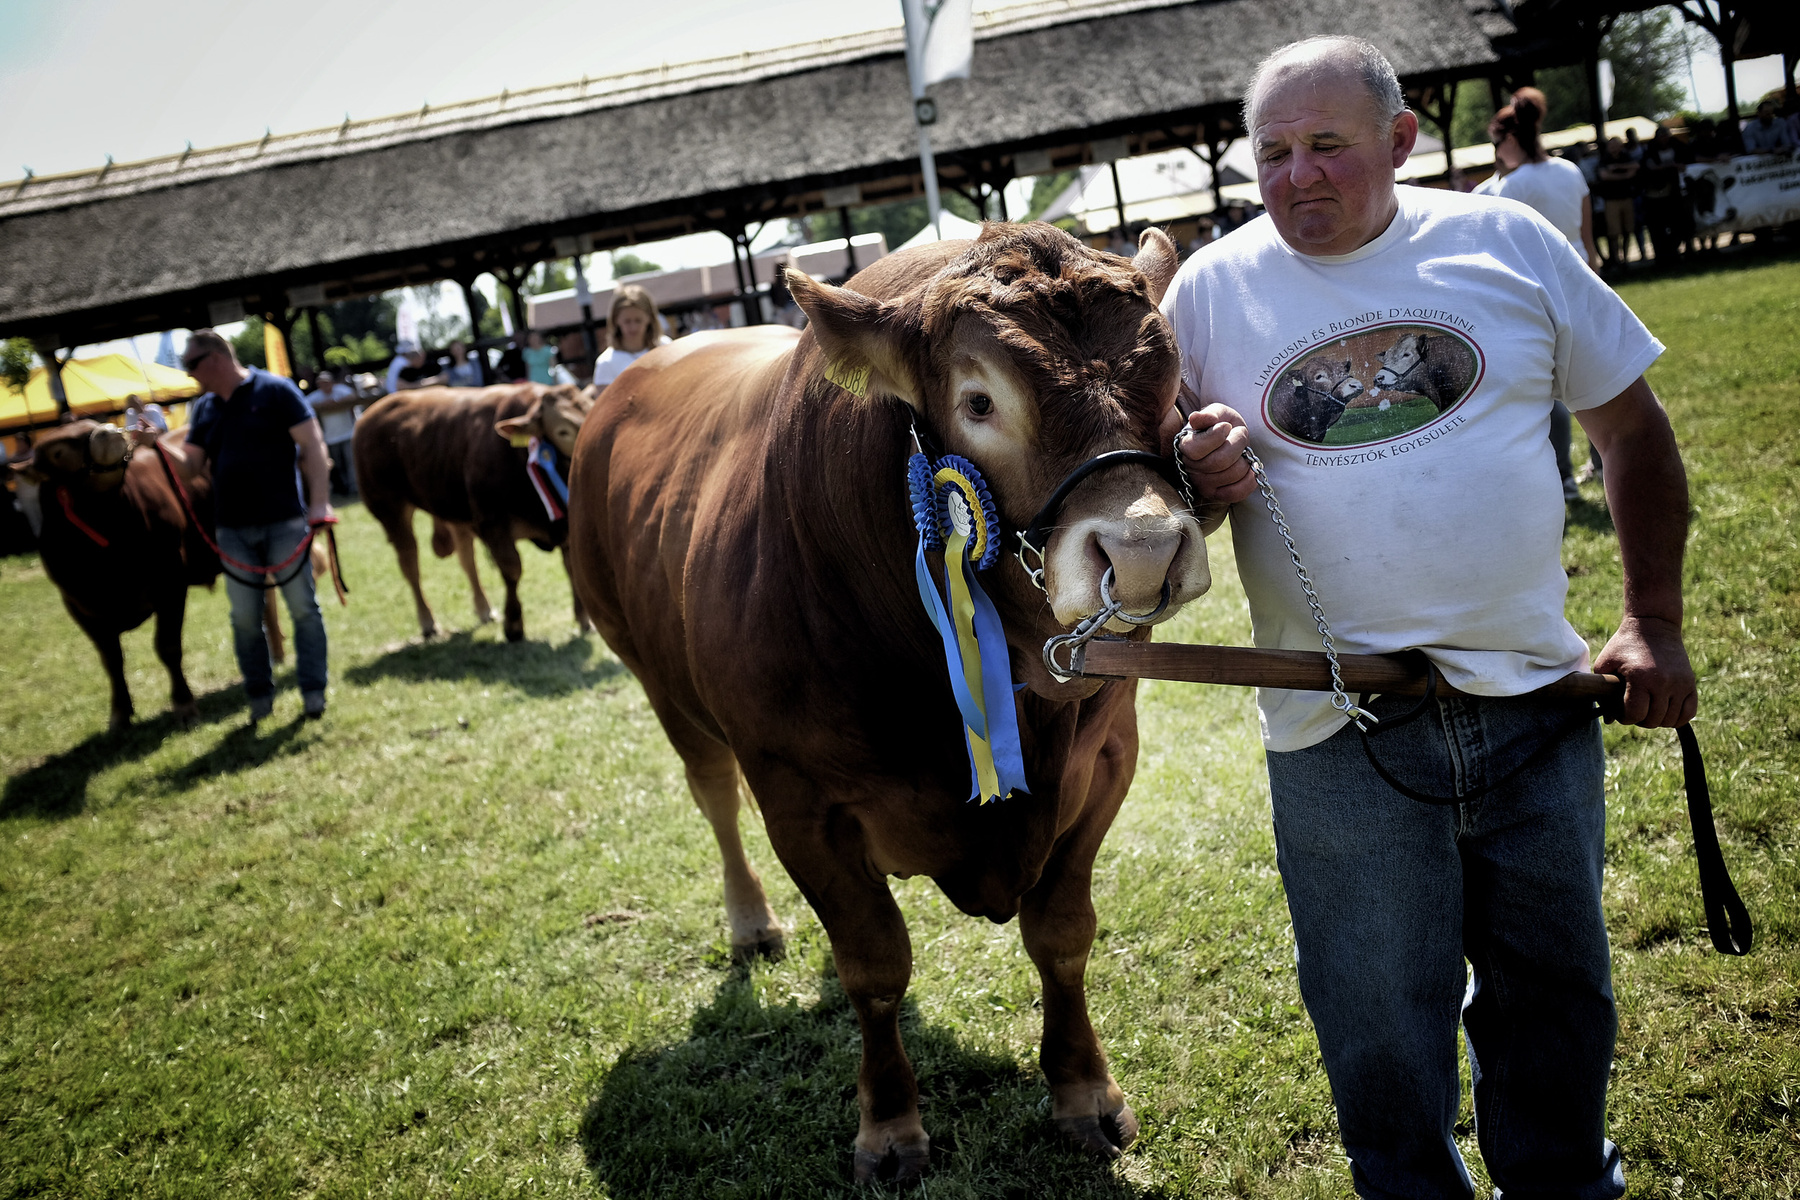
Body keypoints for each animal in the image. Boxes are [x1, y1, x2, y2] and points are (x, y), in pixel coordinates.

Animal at [14, 422, 220, 734]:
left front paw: (185, 706)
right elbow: (111, 661)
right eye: (57, 451)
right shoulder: (78, 606)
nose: (108, 430)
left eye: (91, 423)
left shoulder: (171, 582)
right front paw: (120, 714)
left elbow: (168, 646)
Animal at [354, 390, 594, 644]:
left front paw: (584, 620)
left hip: (455, 513)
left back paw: (484, 609)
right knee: (410, 564)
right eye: (562, 431)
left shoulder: (566, 526)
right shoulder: (492, 523)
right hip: (391, 509)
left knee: (466, 559)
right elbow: (512, 569)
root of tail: (370, 412)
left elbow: (572, 568)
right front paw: (514, 626)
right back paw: (428, 623)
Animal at [561, 224, 1209, 1180]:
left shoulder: (1106, 757)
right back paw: (750, 922)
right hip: (656, 679)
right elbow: (873, 965)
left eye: (1167, 381)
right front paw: (891, 1127)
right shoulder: (801, 803)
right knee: (712, 793)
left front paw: (1084, 1093)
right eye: (979, 401)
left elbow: (1061, 933)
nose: (1143, 551)